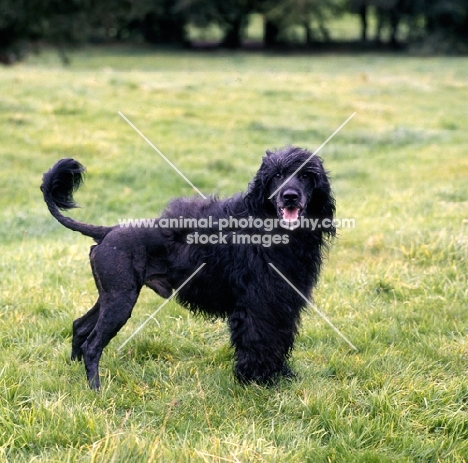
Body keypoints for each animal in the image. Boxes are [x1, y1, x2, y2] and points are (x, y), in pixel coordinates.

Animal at [40, 147, 332, 390]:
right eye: (278, 175)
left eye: (306, 176)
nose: (290, 196)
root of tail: (108, 231)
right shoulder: (258, 304)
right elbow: (259, 340)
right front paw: (256, 381)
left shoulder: (282, 303)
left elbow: (279, 339)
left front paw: (279, 376)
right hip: (120, 300)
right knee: (92, 344)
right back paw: (96, 389)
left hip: (111, 295)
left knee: (79, 327)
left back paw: (73, 372)